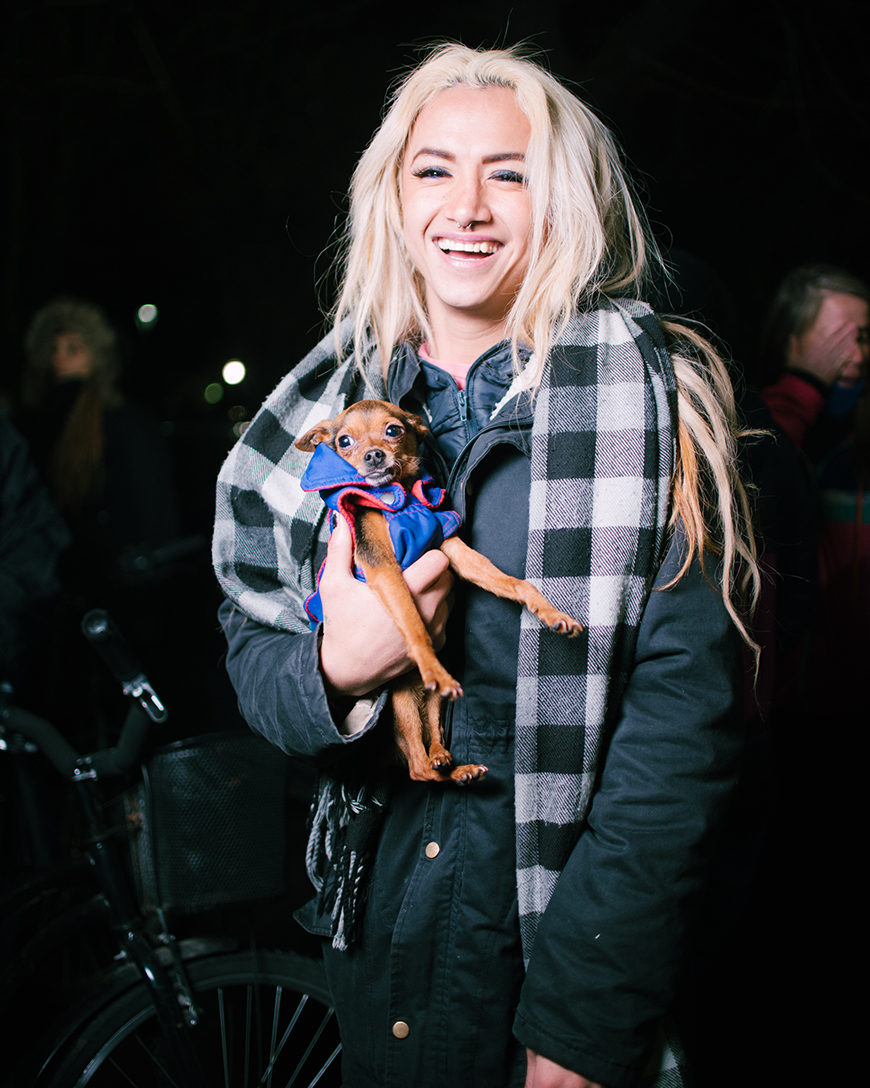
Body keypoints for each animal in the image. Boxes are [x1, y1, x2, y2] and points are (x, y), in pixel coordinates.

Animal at [293, 400, 582, 783]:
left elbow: (512, 582)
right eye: (344, 441)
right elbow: (412, 619)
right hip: (398, 698)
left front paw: (551, 613)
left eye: (393, 430)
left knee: (432, 736)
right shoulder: (383, 567)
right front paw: (431, 663)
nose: (373, 455)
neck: (404, 504)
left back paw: (451, 763)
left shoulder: (451, 546)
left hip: (431, 702)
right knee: (417, 767)